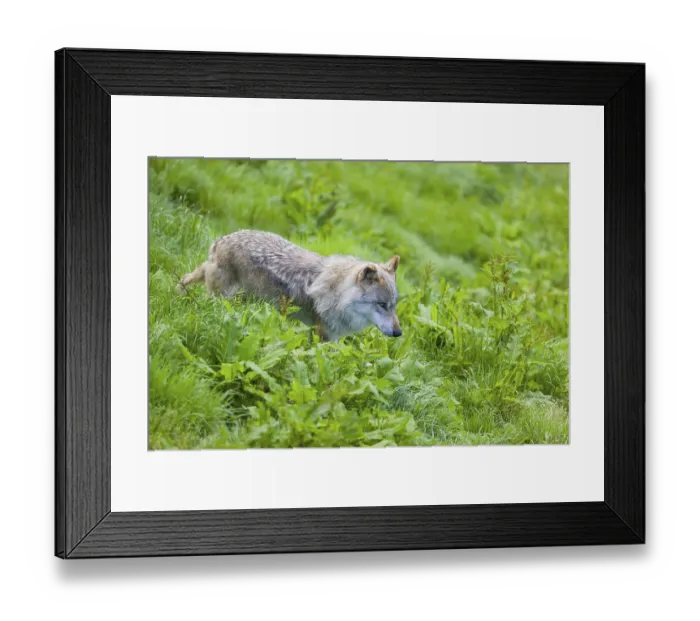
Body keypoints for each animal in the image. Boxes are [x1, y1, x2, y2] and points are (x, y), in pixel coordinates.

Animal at [179, 230, 402, 341]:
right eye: (382, 305)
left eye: (393, 306)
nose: (399, 333)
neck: (339, 292)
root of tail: (223, 239)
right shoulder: (323, 336)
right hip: (221, 298)